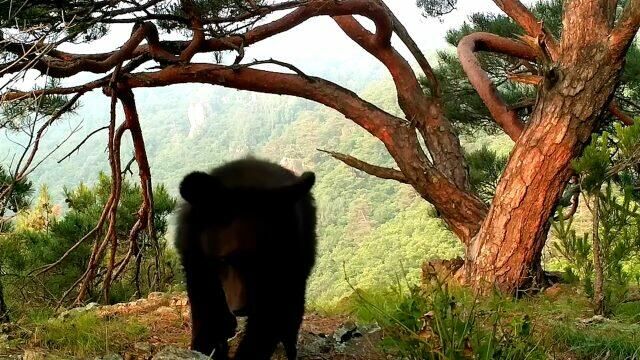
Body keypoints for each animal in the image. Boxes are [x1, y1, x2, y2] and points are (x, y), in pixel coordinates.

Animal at [175, 158, 318, 360]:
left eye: (262, 261)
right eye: (223, 259)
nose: (241, 308)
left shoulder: (286, 262)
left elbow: (271, 316)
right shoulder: (196, 259)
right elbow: (206, 309)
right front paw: (206, 347)